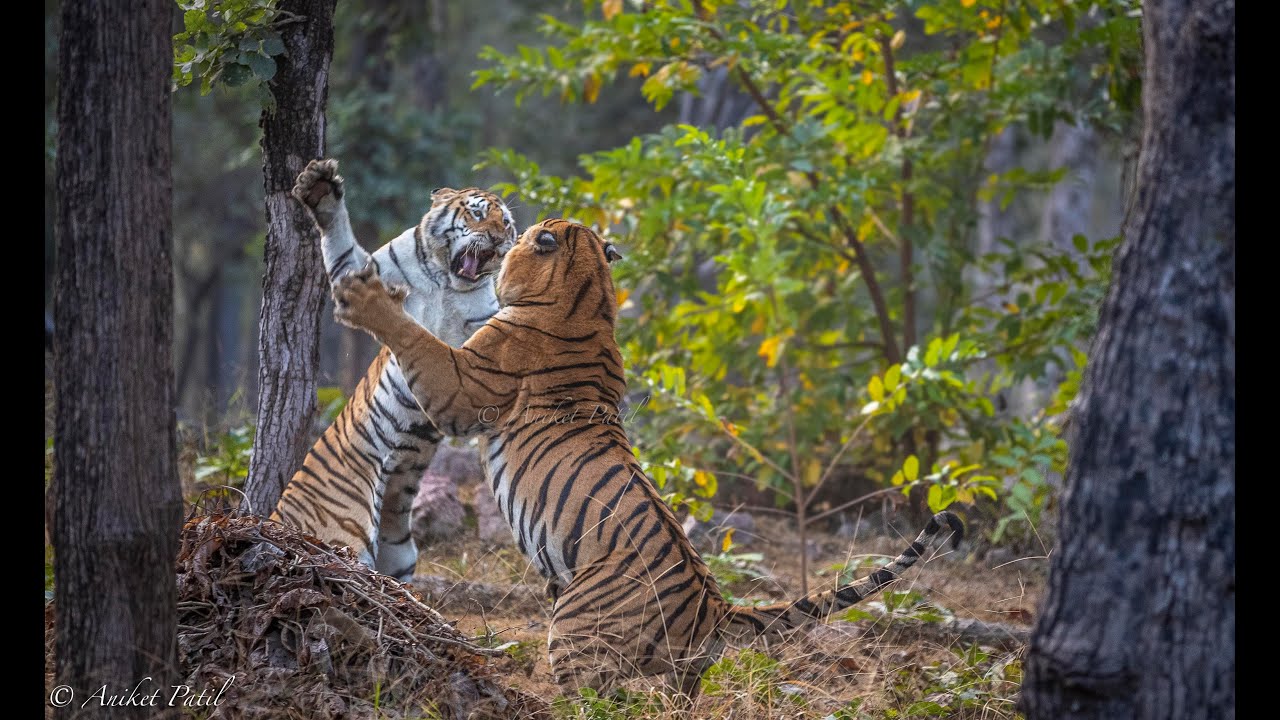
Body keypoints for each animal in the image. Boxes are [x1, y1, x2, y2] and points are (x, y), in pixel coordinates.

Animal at [269, 158, 517, 581]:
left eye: (507, 223)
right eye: (478, 213)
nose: (500, 239)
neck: (446, 282)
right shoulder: (363, 271)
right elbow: (342, 248)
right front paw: (320, 188)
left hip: (399, 550)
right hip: (347, 531)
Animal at [329, 218, 964, 697]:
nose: (507, 232)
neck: (585, 298)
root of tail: (715, 607)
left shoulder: (463, 388)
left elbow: (417, 339)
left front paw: (367, 298)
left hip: (577, 626)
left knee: (596, 700)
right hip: (678, 669)